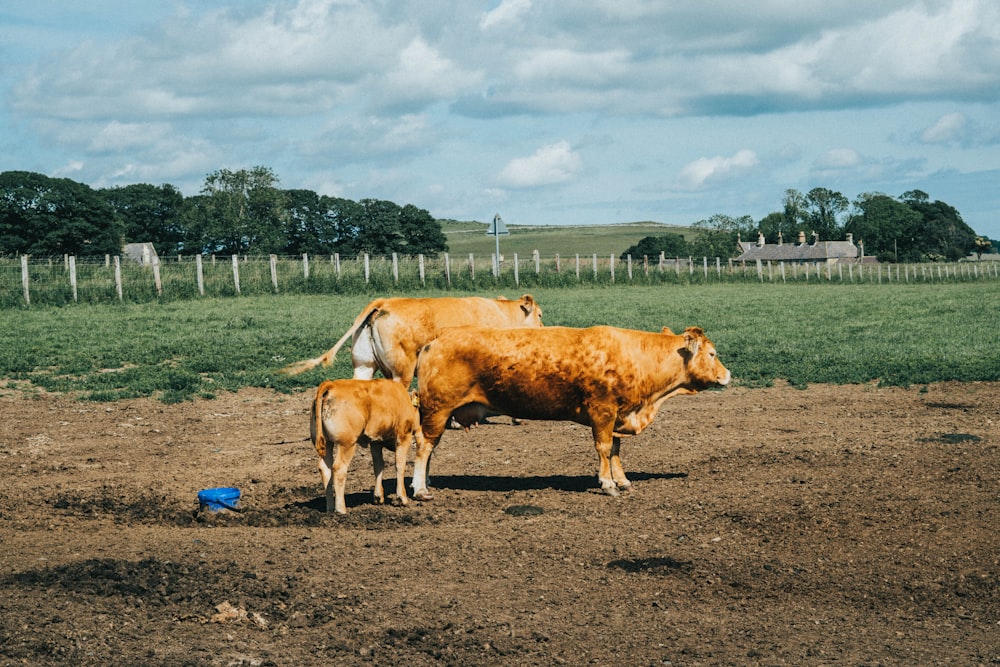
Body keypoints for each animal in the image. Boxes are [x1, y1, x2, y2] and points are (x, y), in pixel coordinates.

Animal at [308, 378, 426, 516]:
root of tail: (331, 384)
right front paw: (402, 498)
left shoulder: (375, 442)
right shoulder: (403, 437)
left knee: (325, 469)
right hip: (347, 444)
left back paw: (330, 508)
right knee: (339, 469)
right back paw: (341, 509)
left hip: (327, 443)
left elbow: (378, 466)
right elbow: (400, 465)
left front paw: (378, 496)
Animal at [410, 324, 732, 500]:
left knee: (430, 449)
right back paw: (419, 488)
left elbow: (616, 450)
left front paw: (623, 480)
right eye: (712, 353)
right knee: (424, 447)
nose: (728, 375)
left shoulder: (618, 415)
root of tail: (435, 341)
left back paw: (425, 482)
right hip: (438, 408)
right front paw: (607, 484)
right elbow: (604, 448)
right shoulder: (602, 412)